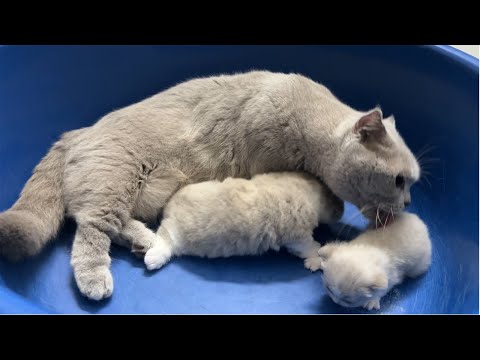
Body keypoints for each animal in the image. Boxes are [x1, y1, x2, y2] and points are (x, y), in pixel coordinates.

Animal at [141, 172, 344, 270]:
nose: (341, 212)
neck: (310, 190)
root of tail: (169, 205)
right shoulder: (298, 236)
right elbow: (312, 247)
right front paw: (316, 260)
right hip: (177, 233)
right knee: (164, 242)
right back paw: (153, 259)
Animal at [306, 212, 434, 310]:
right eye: (328, 289)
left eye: (348, 301)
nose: (335, 302)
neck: (365, 253)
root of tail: (419, 221)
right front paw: (317, 260)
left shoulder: (392, 277)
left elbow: (384, 289)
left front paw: (373, 300)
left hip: (418, 267)